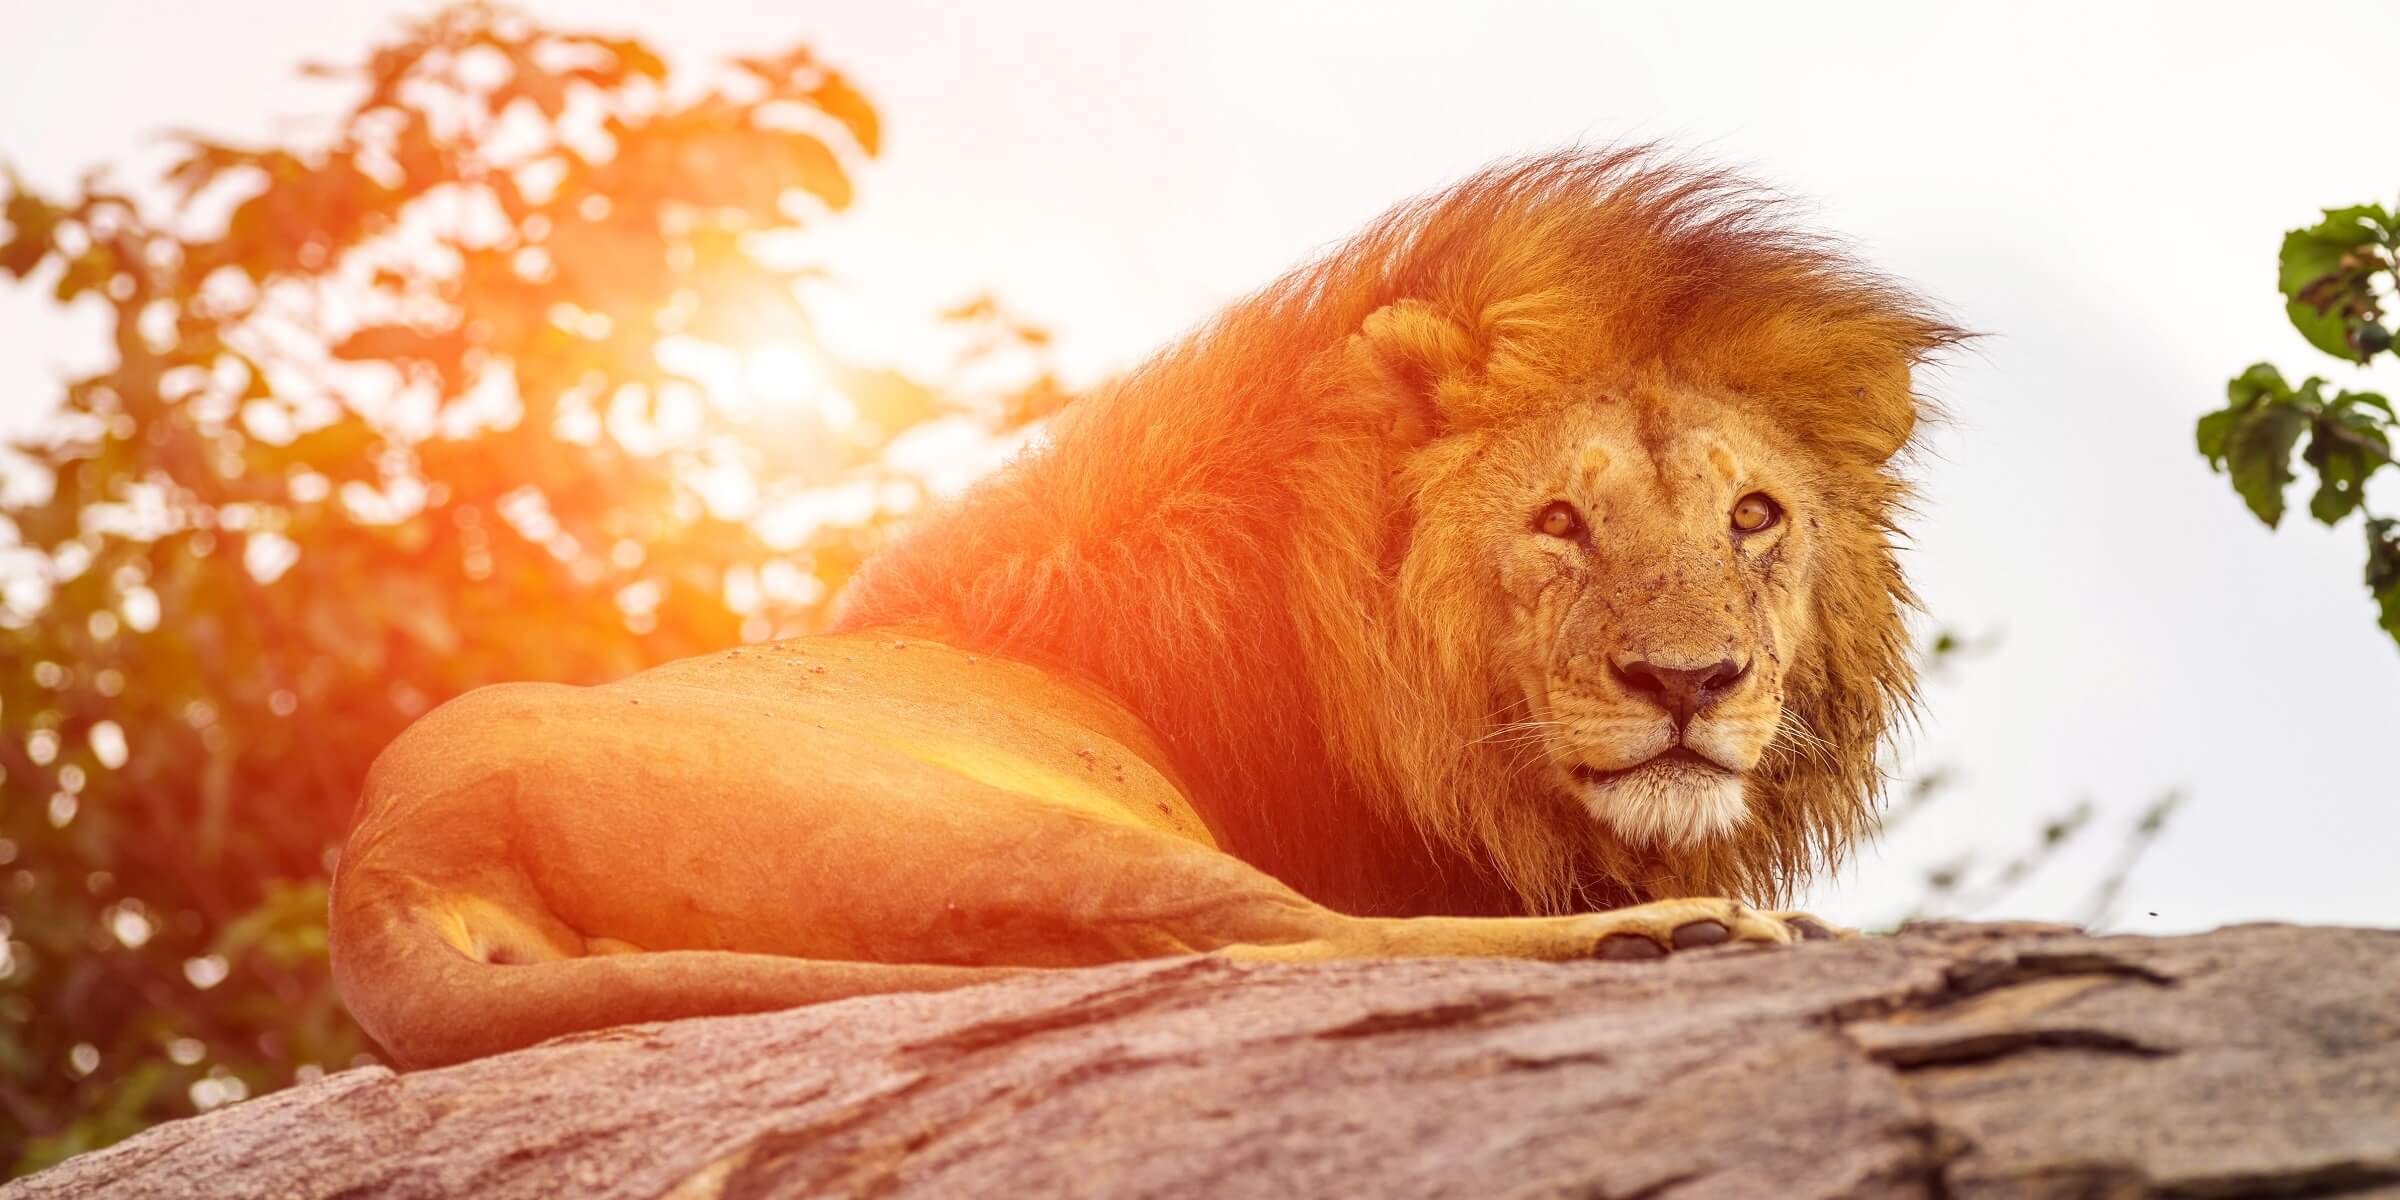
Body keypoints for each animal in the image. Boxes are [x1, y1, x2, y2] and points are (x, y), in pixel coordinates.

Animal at [329, 148, 1963, 1067]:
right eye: (1559, 522)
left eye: (1755, 517)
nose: (1689, 683)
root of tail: (392, 865)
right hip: (1010, 828)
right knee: (1251, 949)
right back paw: (1680, 937)